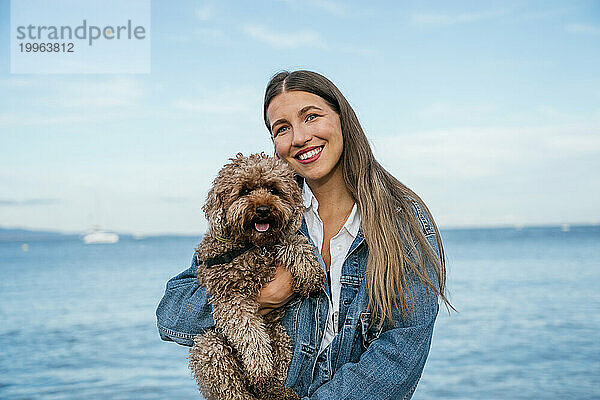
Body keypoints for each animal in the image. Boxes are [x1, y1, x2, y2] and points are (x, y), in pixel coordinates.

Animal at [190, 152, 326, 400]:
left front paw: (308, 270)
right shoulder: (229, 297)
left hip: (280, 338)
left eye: (273, 190)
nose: (263, 209)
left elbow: (293, 240)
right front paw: (260, 367)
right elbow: (249, 333)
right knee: (230, 383)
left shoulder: (277, 240)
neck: (252, 246)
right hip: (210, 348)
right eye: (244, 190)